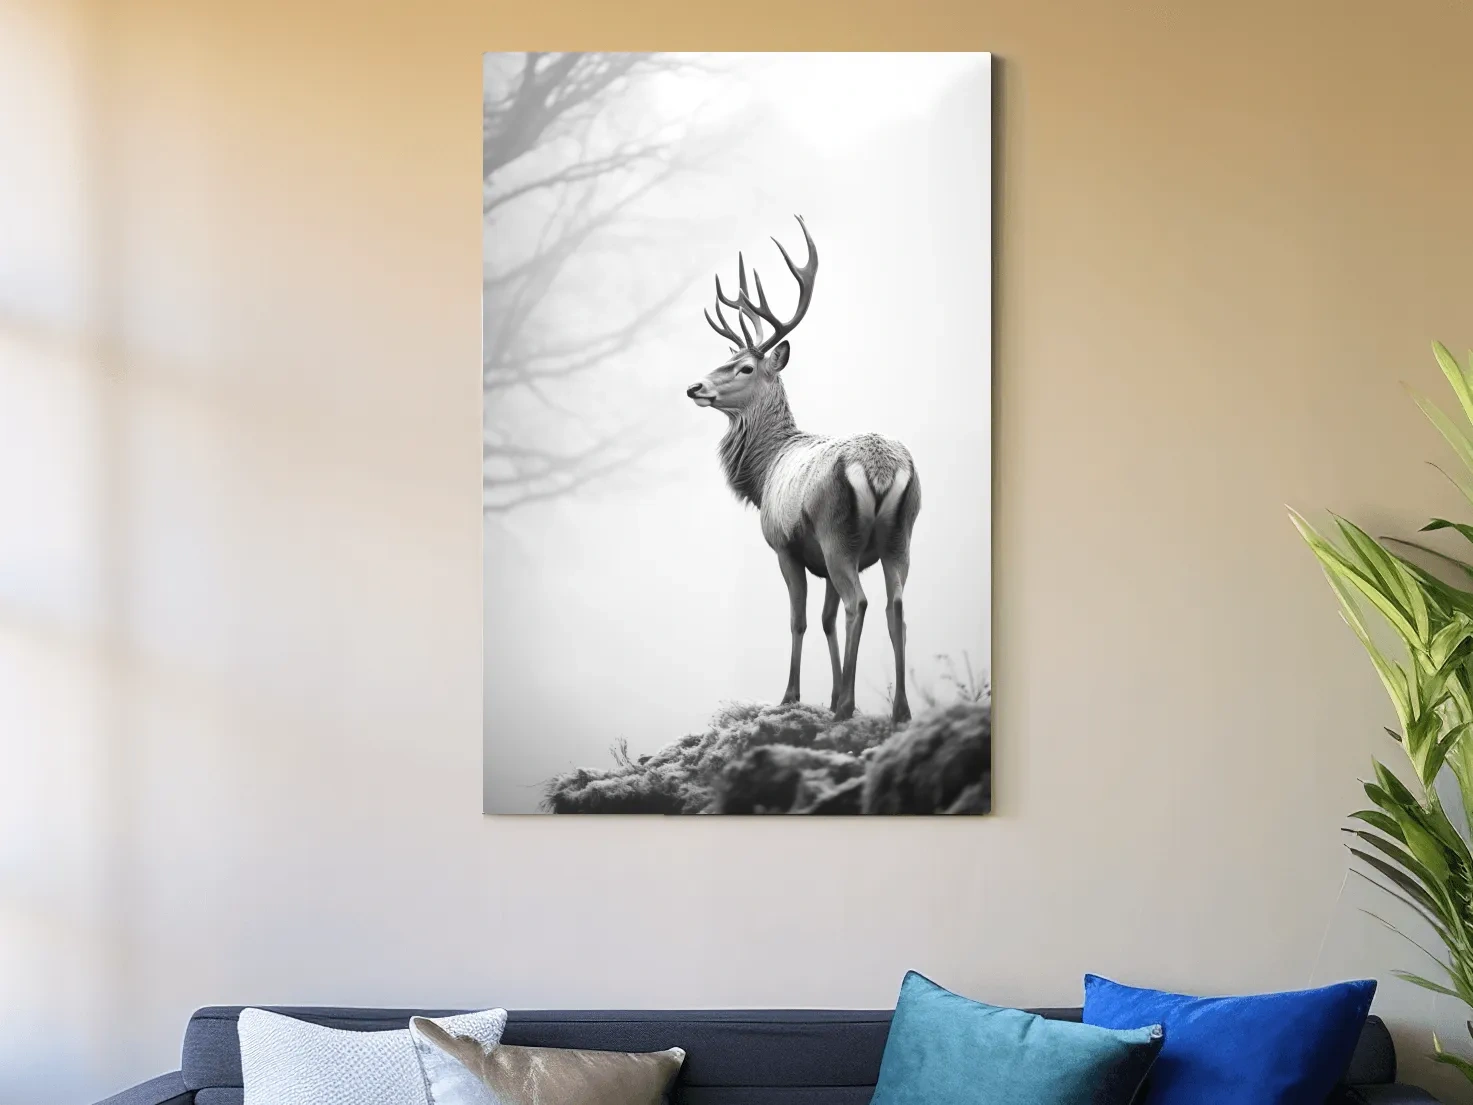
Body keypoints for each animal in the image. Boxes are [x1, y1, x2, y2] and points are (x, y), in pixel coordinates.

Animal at [685, 216, 921, 725]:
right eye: (726, 359)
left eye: (744, 367)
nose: (694, 387)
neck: (764, 471)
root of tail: (880, 468)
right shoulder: (822, 560)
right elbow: (827, 620)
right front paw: (829, 694)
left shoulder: (785, 545)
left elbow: (800, 620)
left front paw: (793, 696)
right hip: (900, 535)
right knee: (894, 606)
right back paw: (899, 711)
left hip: (837, 532)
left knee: (860, 602)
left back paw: (849, 706)